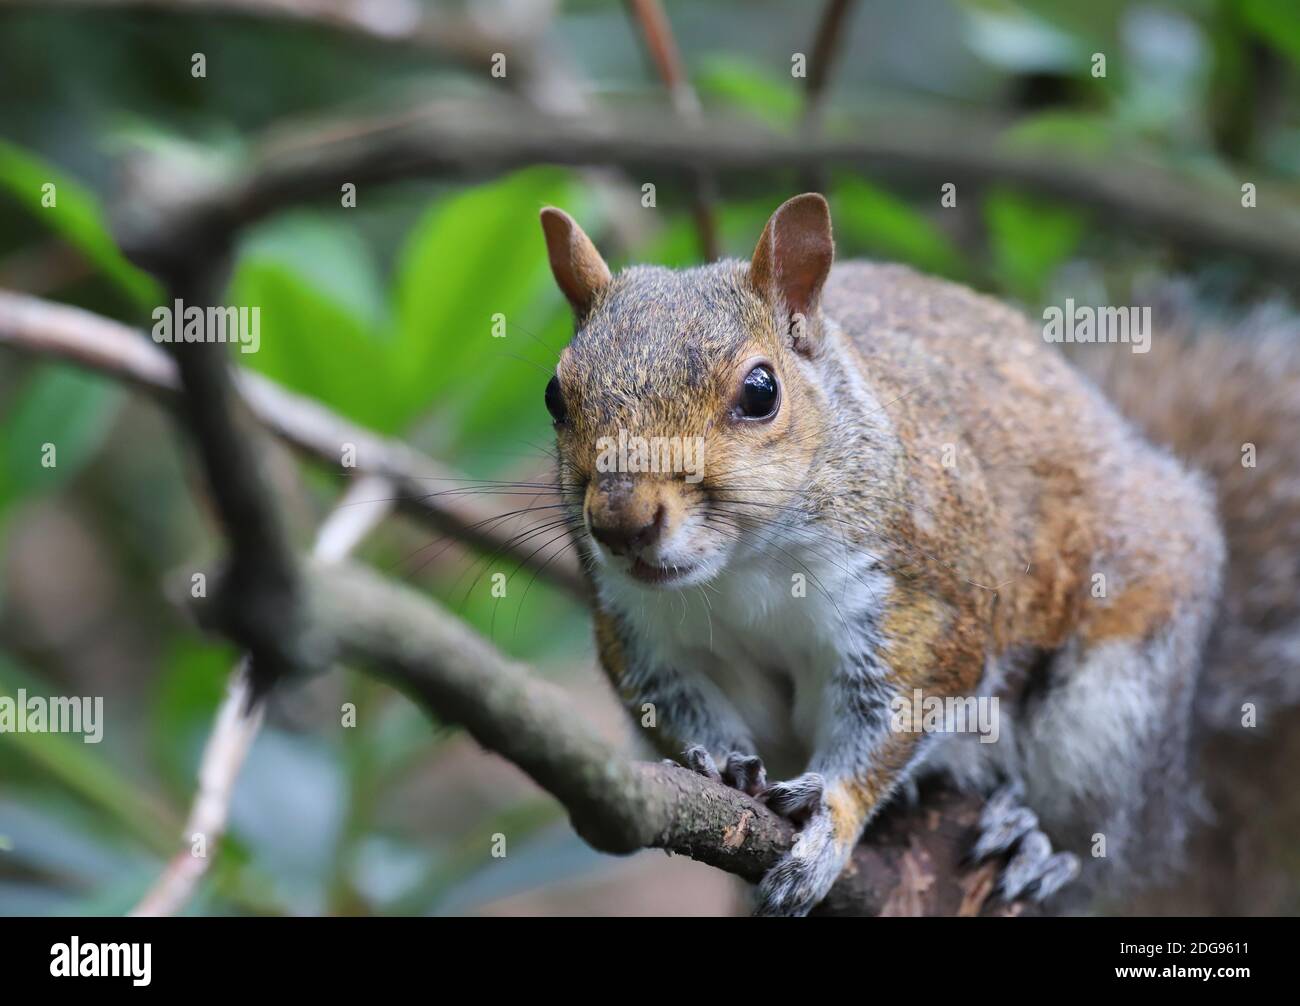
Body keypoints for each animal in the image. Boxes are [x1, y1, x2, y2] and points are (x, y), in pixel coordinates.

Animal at [533, 193, 1294, 920]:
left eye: (760, 391)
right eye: (555, 395)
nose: (622, 522)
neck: (743, 566)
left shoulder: (922, 603)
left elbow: (896, 715)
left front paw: (830, 825)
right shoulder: (643, 634)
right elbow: (677, 702)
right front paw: (719, 763)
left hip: (1115, 701)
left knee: (1108, 838)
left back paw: (1038, 842)